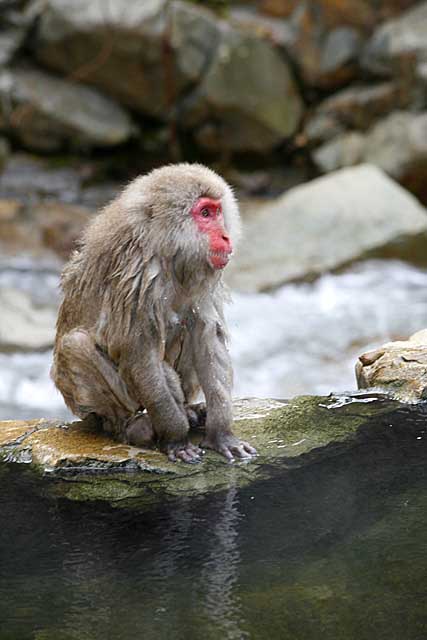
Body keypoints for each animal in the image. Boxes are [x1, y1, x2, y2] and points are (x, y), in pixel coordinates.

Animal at [51, 164, 256, 464]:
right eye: (205, 213)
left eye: (217, 211)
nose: (225, 237)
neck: (167, 250)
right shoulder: (137, 276)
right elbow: (140, 353)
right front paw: (176, 438)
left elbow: (207, 336)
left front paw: (222, 434)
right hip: (85, 401)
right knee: (76, 345)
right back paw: (128, 426)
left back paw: (189, 410)